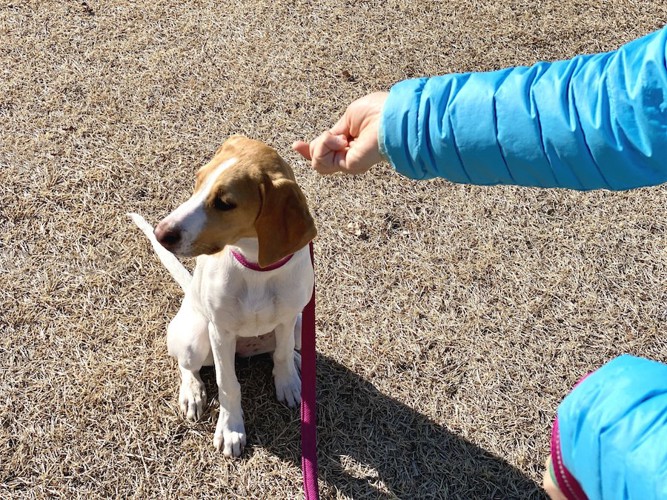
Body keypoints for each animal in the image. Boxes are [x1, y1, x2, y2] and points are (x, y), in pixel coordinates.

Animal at [132, 136, 318, 458]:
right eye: (197, 180)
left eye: (225, 203)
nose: (160, 232)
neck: (255, 266)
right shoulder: (221, 331)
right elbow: (228, 383)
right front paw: (231, 430)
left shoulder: (286, 319)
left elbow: (281, 355)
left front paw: (288, 383)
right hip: (195, 337)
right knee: (187, 366)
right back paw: (192, 393)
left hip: (299, 326)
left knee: (282, 349)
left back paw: (296, 363)